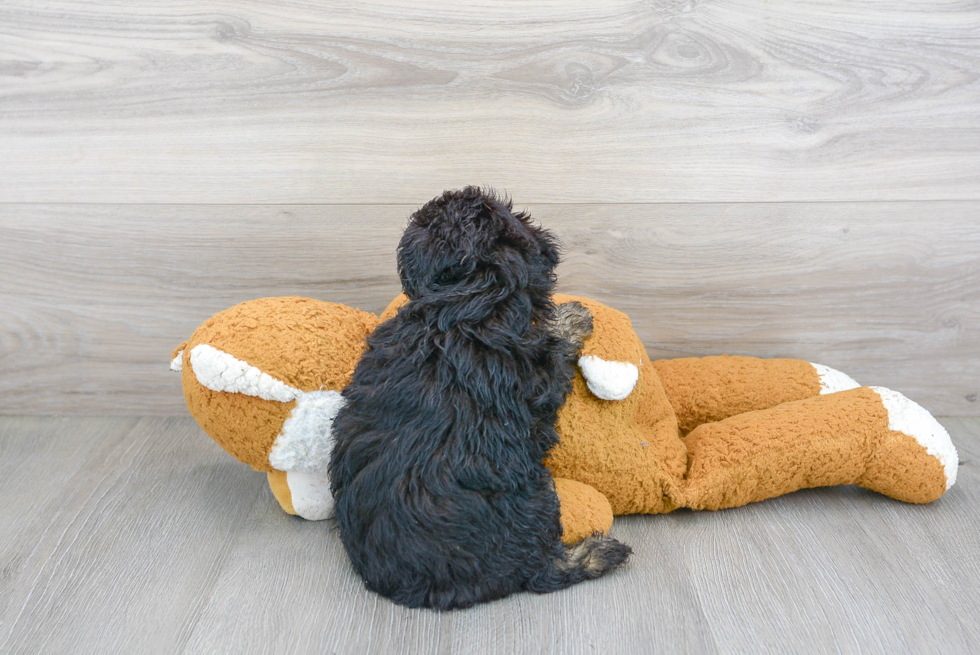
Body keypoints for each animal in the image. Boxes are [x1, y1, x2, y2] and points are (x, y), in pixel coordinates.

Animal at [330, 186, 632, 608]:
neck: (463, 299)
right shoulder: (539, 373)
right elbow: (555, 349)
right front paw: (571, 319)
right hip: (534, 505)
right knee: (546, 569)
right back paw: (599, 553)